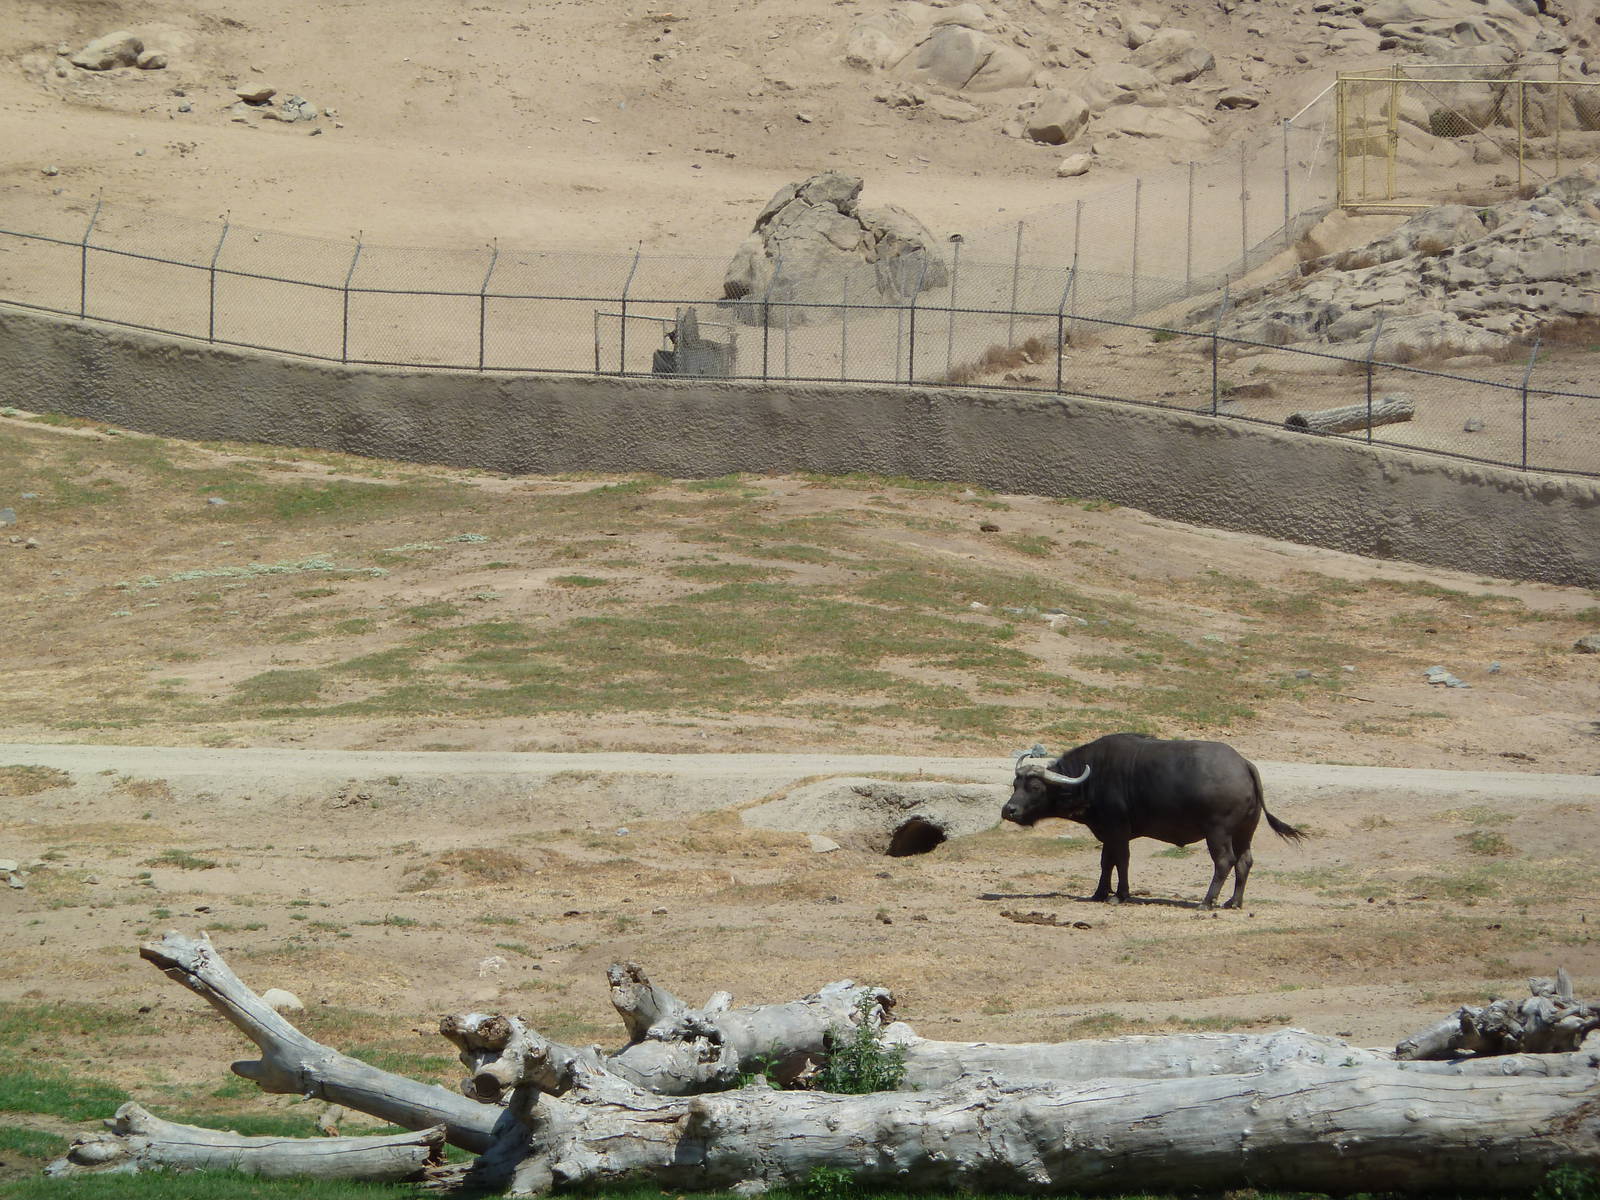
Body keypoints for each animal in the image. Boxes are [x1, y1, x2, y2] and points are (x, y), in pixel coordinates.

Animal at [1001, 733, 1304, 908]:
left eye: (1035, 787)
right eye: (1015, 784)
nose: (1008, 810)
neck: (1092, 778)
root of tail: (1243, 765)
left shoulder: (1118, 830)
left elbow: (1121, 861)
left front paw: (1120, 895)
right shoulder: (1107, 831)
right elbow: (1106, 862)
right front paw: (1099, 893)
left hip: (1218, 832)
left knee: (1224, 861)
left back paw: (1207, 902)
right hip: (1245, 832)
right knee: (1245, 862)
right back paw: (1234, 901)